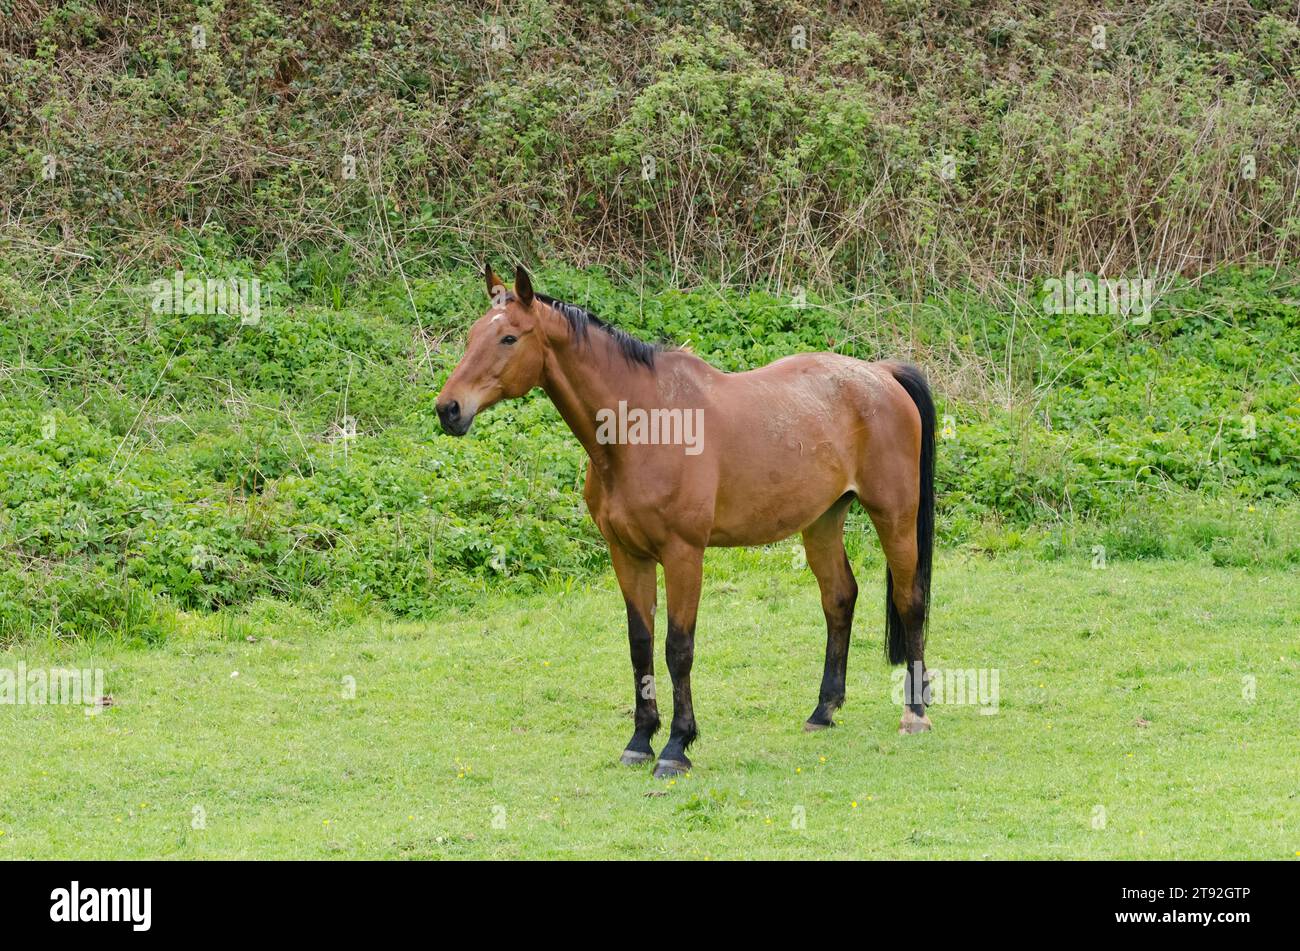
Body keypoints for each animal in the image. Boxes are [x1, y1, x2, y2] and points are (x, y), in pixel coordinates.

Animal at [439, 263, 935, 774]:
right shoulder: (627, 555)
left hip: (894, 514)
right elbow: (640, 644)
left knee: (910, 600)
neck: (643, 426)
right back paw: (823, 710)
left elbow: (678, 648)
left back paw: (915, 714)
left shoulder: (683, 555)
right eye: (474, 334)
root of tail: (881, 374)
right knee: (839, 598)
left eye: (509, 338)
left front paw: (677, 745)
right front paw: (640, 739)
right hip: (821, 521)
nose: (448, 409)